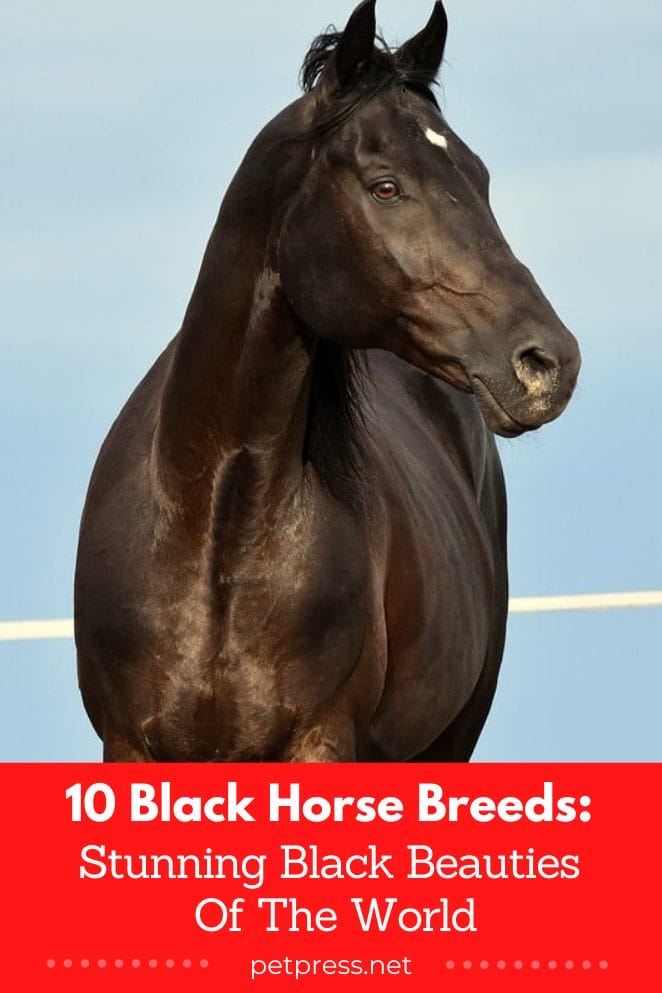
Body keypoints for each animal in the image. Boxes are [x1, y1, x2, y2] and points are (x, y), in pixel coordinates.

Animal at [74, 0, 580, 762]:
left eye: (481, 179)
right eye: (385, 185)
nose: (549, 362)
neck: (213, 535)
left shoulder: (322, 744)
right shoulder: (130, 746)